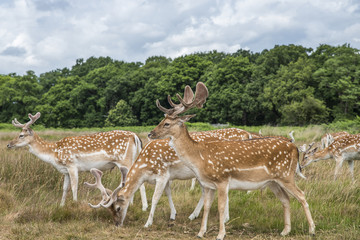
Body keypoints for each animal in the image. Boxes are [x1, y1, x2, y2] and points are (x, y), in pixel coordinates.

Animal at [5, 112, 146, 208]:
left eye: (21, 135)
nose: (8, 144)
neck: (54, 153)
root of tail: (136, 137)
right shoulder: (65, 170)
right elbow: (64, 188)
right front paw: (61, 205)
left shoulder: (72, 165)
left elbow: (74, 186)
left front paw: (75, 203)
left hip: (125, 160)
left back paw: (140, 206)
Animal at [146, 82, 316, 240]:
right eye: (161, 120)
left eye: (167, 123)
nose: (150, 133)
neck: (199, 157)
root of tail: (294, 147)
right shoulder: (209, 185)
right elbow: (207, 207)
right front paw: (200, 233)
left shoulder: (222, 179)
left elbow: (221, 207)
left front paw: (220, 234)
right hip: (273, 181)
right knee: (286, 200)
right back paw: (285, 231)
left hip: (286, 175)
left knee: (301, 195)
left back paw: (312, 230)